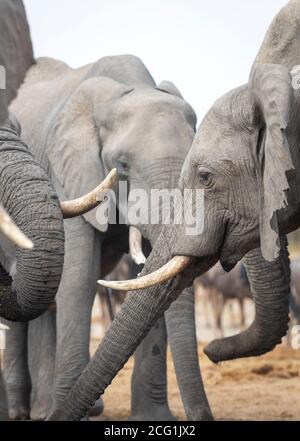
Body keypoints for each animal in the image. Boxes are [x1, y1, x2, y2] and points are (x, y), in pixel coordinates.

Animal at [6, 52, 213, 420]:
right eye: (122, 164)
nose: (203, 416)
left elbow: (144, 276)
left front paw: (153, 419)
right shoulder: (70, 174)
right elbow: (78, 278)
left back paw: (44, 407)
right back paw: (24, 410)